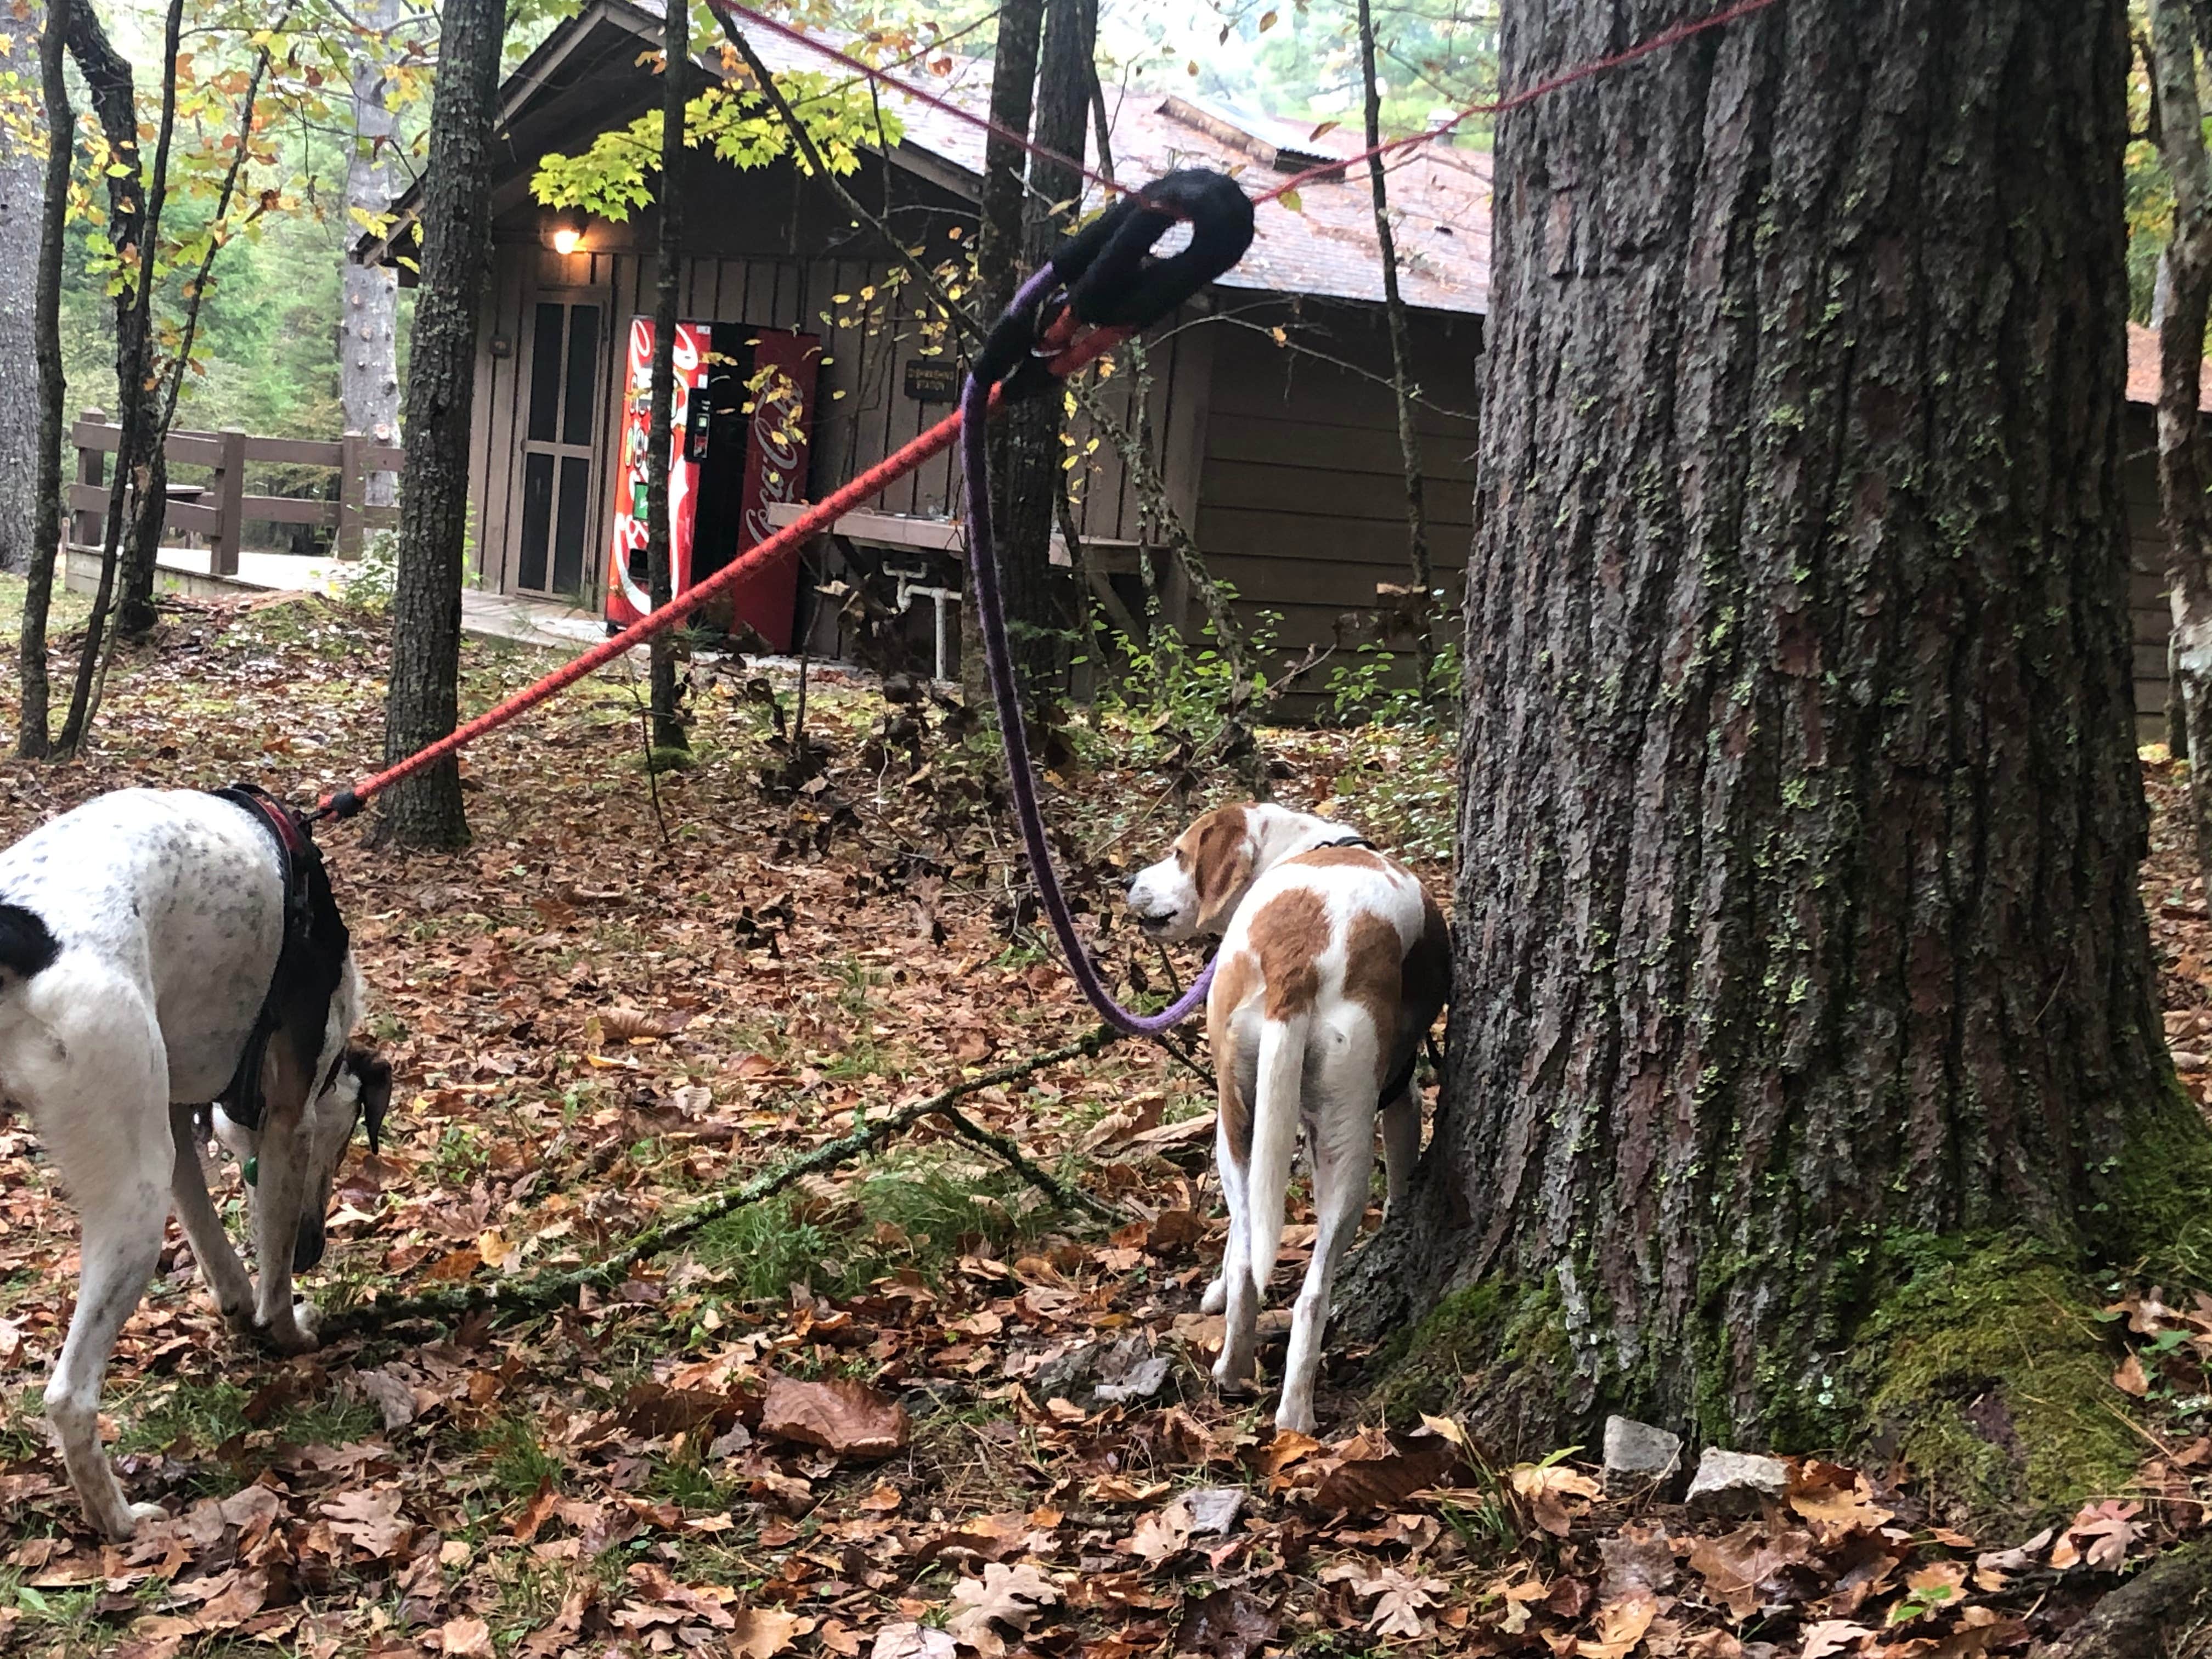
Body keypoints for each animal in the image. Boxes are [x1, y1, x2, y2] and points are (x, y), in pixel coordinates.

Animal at [0, 787, 389, 1539]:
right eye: (345, 1145)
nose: (314, 1251)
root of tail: (19, 931)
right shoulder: (289, 1119)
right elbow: (271, 1270)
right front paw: (289, 1330)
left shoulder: (180, 1114)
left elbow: (217, 1243)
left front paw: (238, 1304)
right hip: (136, 1197)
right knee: (69, 1395)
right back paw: (122, 1521)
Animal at [1124, 800, 1451, 1433]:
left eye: (1179, 853)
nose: (1131, 884)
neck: (1309, 845)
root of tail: (1301, 950)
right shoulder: (1401, 1098)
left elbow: (1238, 1243)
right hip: (1338, 1147)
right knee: (1310, 1290)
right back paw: (1290, 1407)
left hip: (1237, 1129)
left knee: (1259, 1266)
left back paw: (1247, 1379)